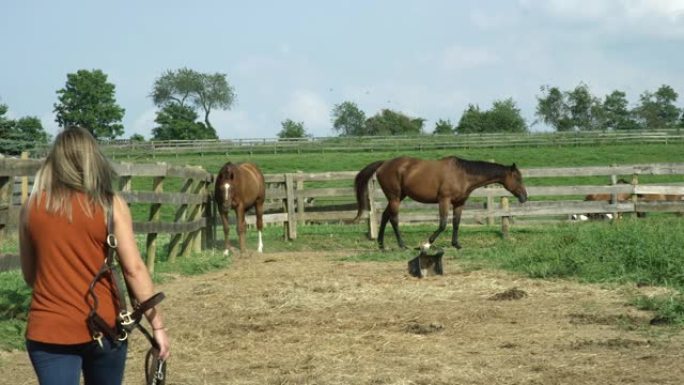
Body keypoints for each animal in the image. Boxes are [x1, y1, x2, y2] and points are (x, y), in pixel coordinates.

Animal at [352, 155, 528, 249]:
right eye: (518, 178)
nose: (524, 197)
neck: (463, 174)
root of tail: (384, 164)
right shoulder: (444, 200)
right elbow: (443, 224)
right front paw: (427, 243)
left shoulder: (459, 203)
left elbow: (456, 223)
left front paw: (456, 244)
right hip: (395, 198)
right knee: (393, 219)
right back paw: (402, 245)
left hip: (398, 197)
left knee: (385, 216)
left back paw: (381, 244)